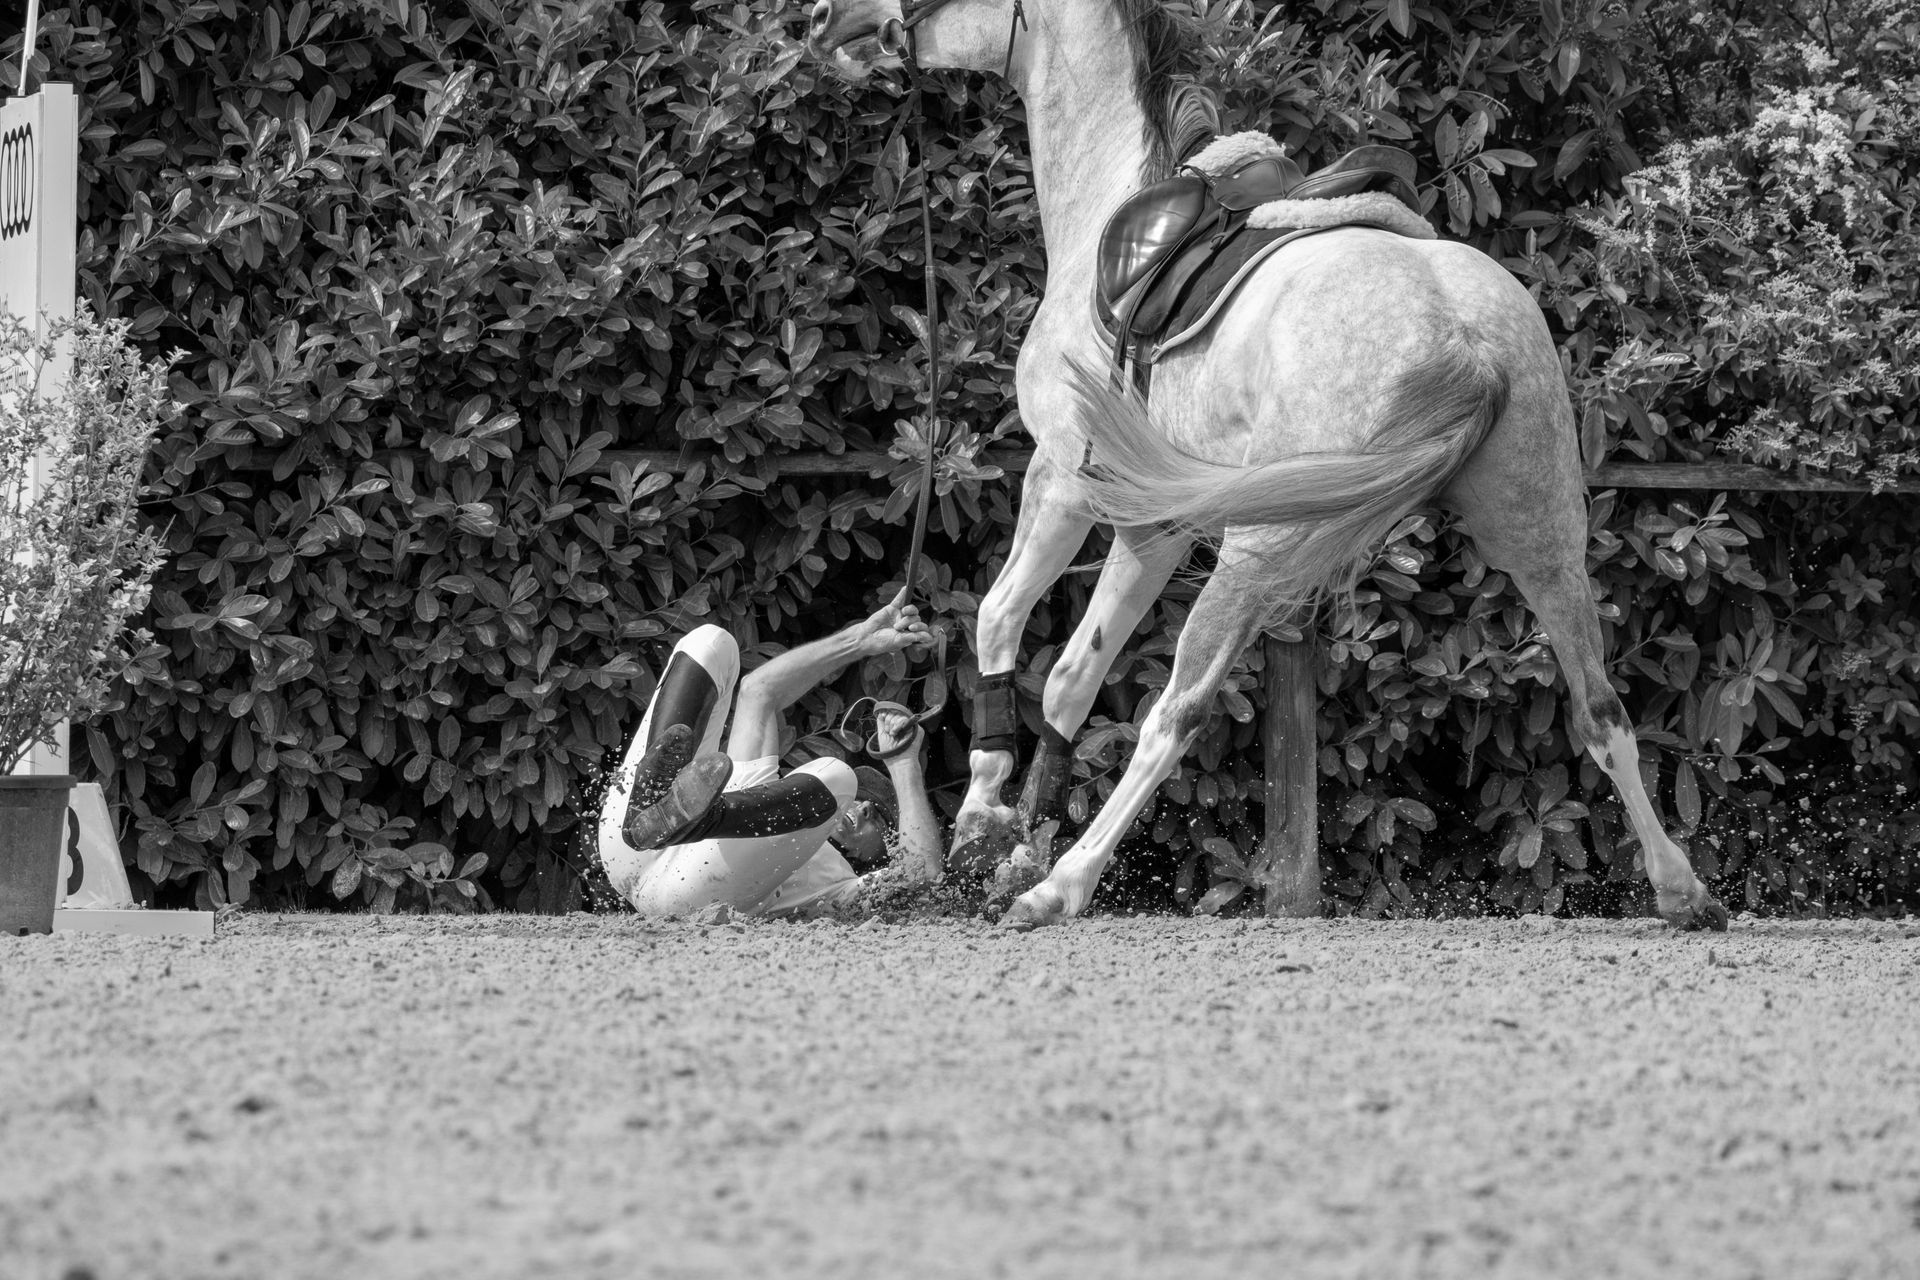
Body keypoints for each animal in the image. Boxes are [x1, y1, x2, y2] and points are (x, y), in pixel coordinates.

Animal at [805, 0, 1729, 933]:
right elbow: (1071, 679)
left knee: (1174, 714)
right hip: (1541, 535)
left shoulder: (1067, 478)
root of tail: (1464, 338)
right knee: (1602, 708)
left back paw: (1060, 887)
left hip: (1258, 551)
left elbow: (1002, 621)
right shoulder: (1154, 525)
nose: (825, 26)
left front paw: (983, 829)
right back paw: (1683, 890)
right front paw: (1013, 841)